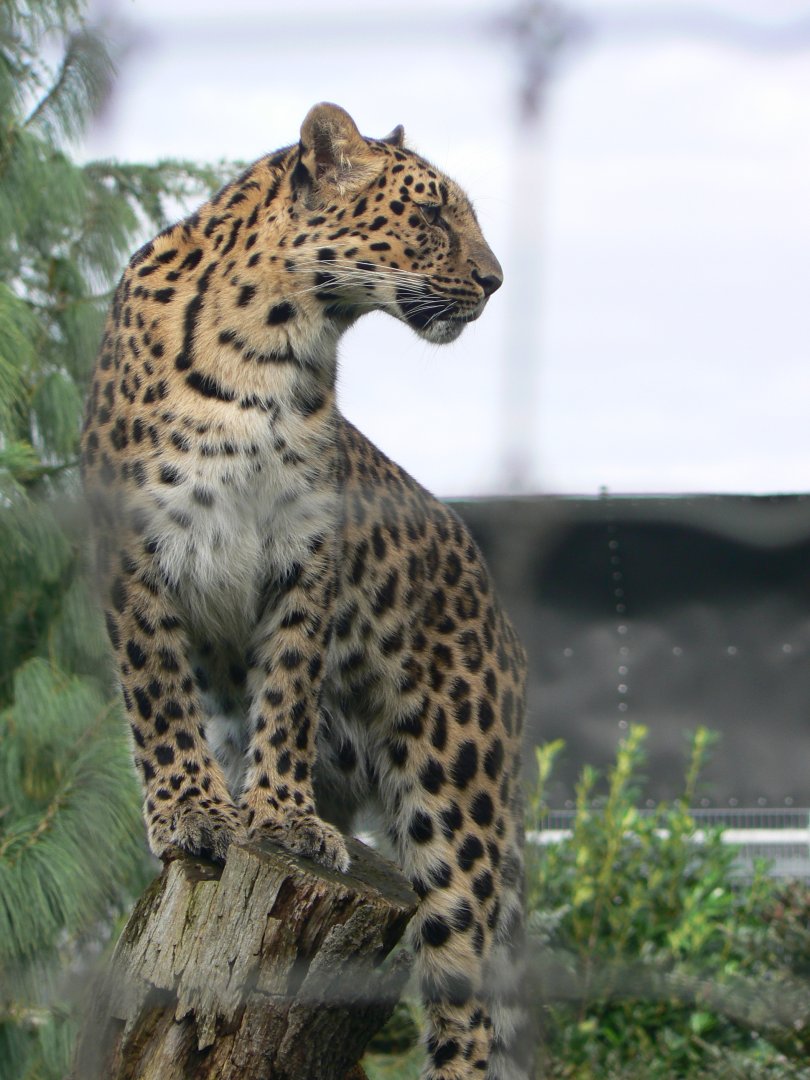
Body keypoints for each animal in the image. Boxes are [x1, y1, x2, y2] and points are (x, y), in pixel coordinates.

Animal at [81, 103, 531, 1080]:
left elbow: (286, 690)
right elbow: (159, 696)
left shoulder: (303, 550)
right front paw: (195, 813)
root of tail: (504, 625)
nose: (496, 280)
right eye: (432, 214)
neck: (271, 345)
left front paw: (280, 820)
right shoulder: (135, 554)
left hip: (457, 803)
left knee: (468, 1002)